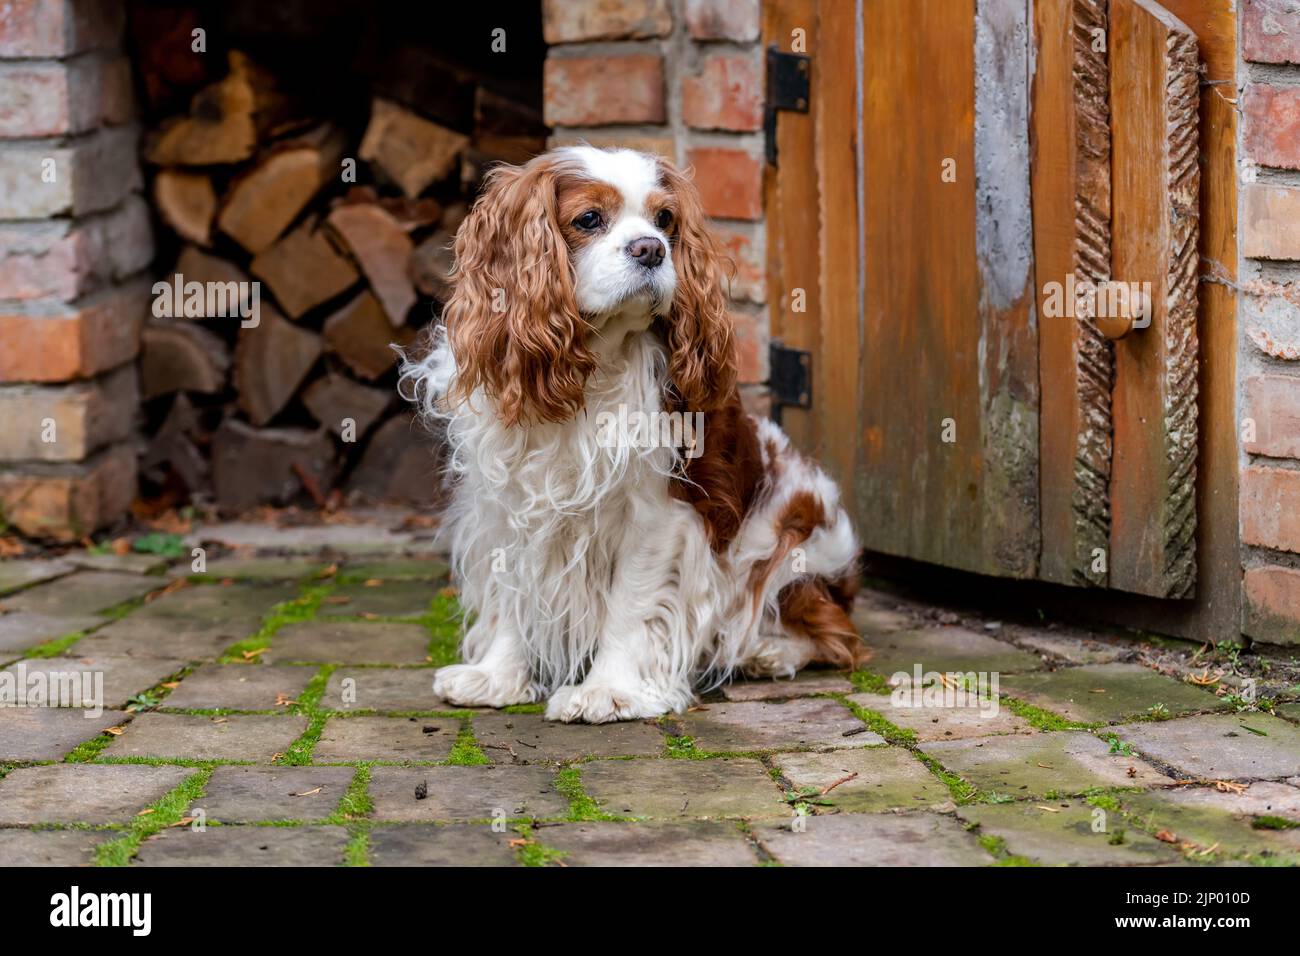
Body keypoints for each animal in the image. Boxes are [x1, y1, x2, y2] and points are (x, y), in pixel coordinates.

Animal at [395, 145, 863, 723]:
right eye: (588, 219)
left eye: (665, 220)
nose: (651, 249)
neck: (592, 365)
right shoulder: (509, 502)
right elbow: (512, 592)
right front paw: (497, 677)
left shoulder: (659, 514)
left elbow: (631, 604)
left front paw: (608, 690)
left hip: (790, 531)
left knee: (834, 633)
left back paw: (763, 651)